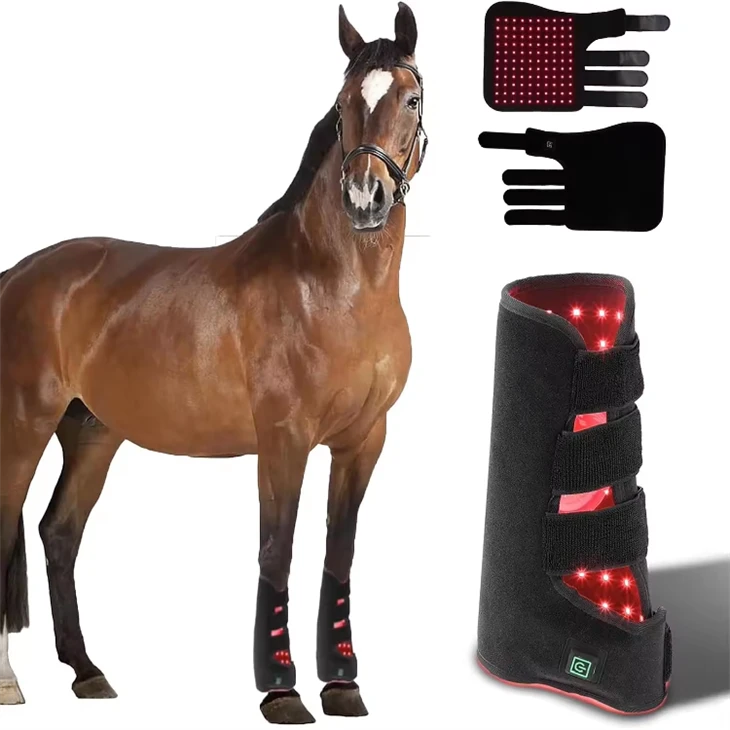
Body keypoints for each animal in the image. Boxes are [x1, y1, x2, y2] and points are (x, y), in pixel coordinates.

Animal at [0, 2, 426, 724]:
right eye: (343, 104)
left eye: (410, 97)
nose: (365, 198)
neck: (333, 287)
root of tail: (17, 274)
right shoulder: (283, 441)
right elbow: (276, 551)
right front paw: (281, 690)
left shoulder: (364, 440)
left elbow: (338, 552)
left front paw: (343, 684)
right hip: (23, 428)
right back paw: (10, 682)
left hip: (91, 433)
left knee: (59, 533)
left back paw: (88, 672)